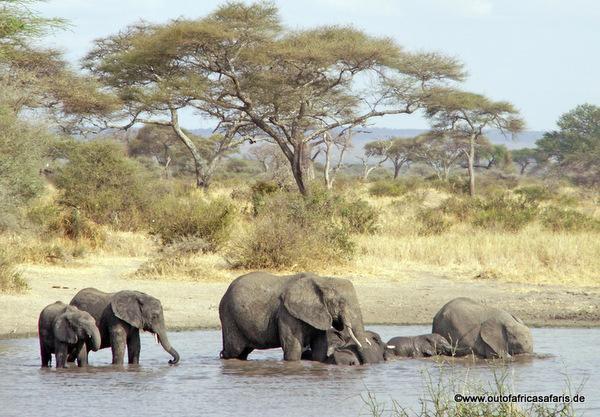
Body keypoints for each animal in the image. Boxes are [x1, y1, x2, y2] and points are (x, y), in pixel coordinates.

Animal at [219, 272, 380, 362]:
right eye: (341, 303)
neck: (322, 280)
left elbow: (320, 347)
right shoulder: (286, 313)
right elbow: (292, 347)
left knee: (242, 352)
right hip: (229, 315)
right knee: (234, 350)